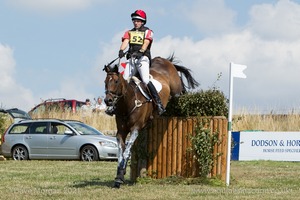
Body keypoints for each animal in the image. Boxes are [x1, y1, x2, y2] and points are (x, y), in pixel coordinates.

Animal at [103, 54, 199, 188]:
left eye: (116, 81)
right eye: (105, 82)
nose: (108, 101)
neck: (128, 103)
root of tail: (164, 60)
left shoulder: (135, 129)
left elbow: (127, 152)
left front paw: (120, 176)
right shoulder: (120, 132)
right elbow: (121, 153)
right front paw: (119, 176)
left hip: (176, 89)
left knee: (180, 90)